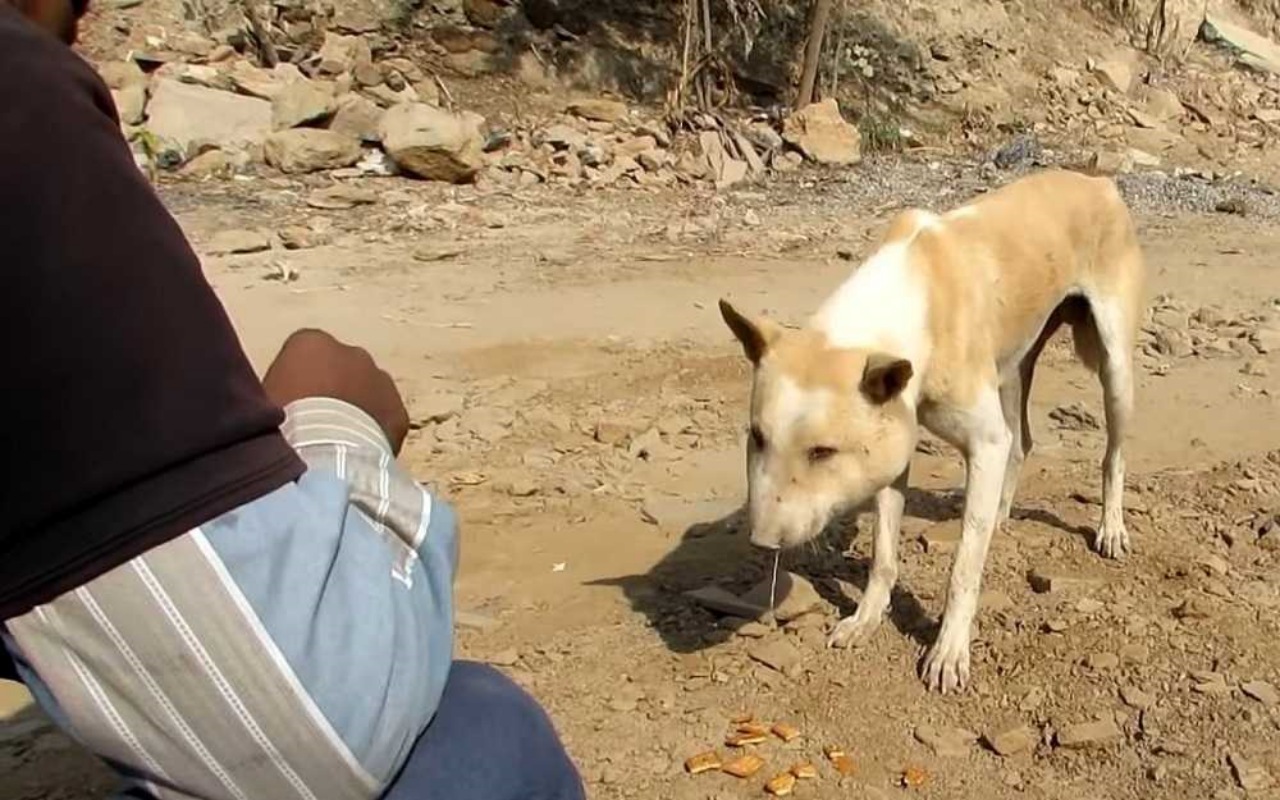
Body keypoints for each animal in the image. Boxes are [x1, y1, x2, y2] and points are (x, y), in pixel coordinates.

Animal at [721, 170, 1152, 691]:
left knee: (1113, 455)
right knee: (1020, 441)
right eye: (757, 437)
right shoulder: (890, 448)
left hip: (1115, 369)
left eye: (823, 452)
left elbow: (963, 569)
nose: (762, 542)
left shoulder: (981, 442)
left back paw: (1111, 528)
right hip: (1014, 366)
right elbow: (884, 554)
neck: (909, 300)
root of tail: (1095, 178)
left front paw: (948, 651)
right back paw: (1000, 513)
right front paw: (867, 618)